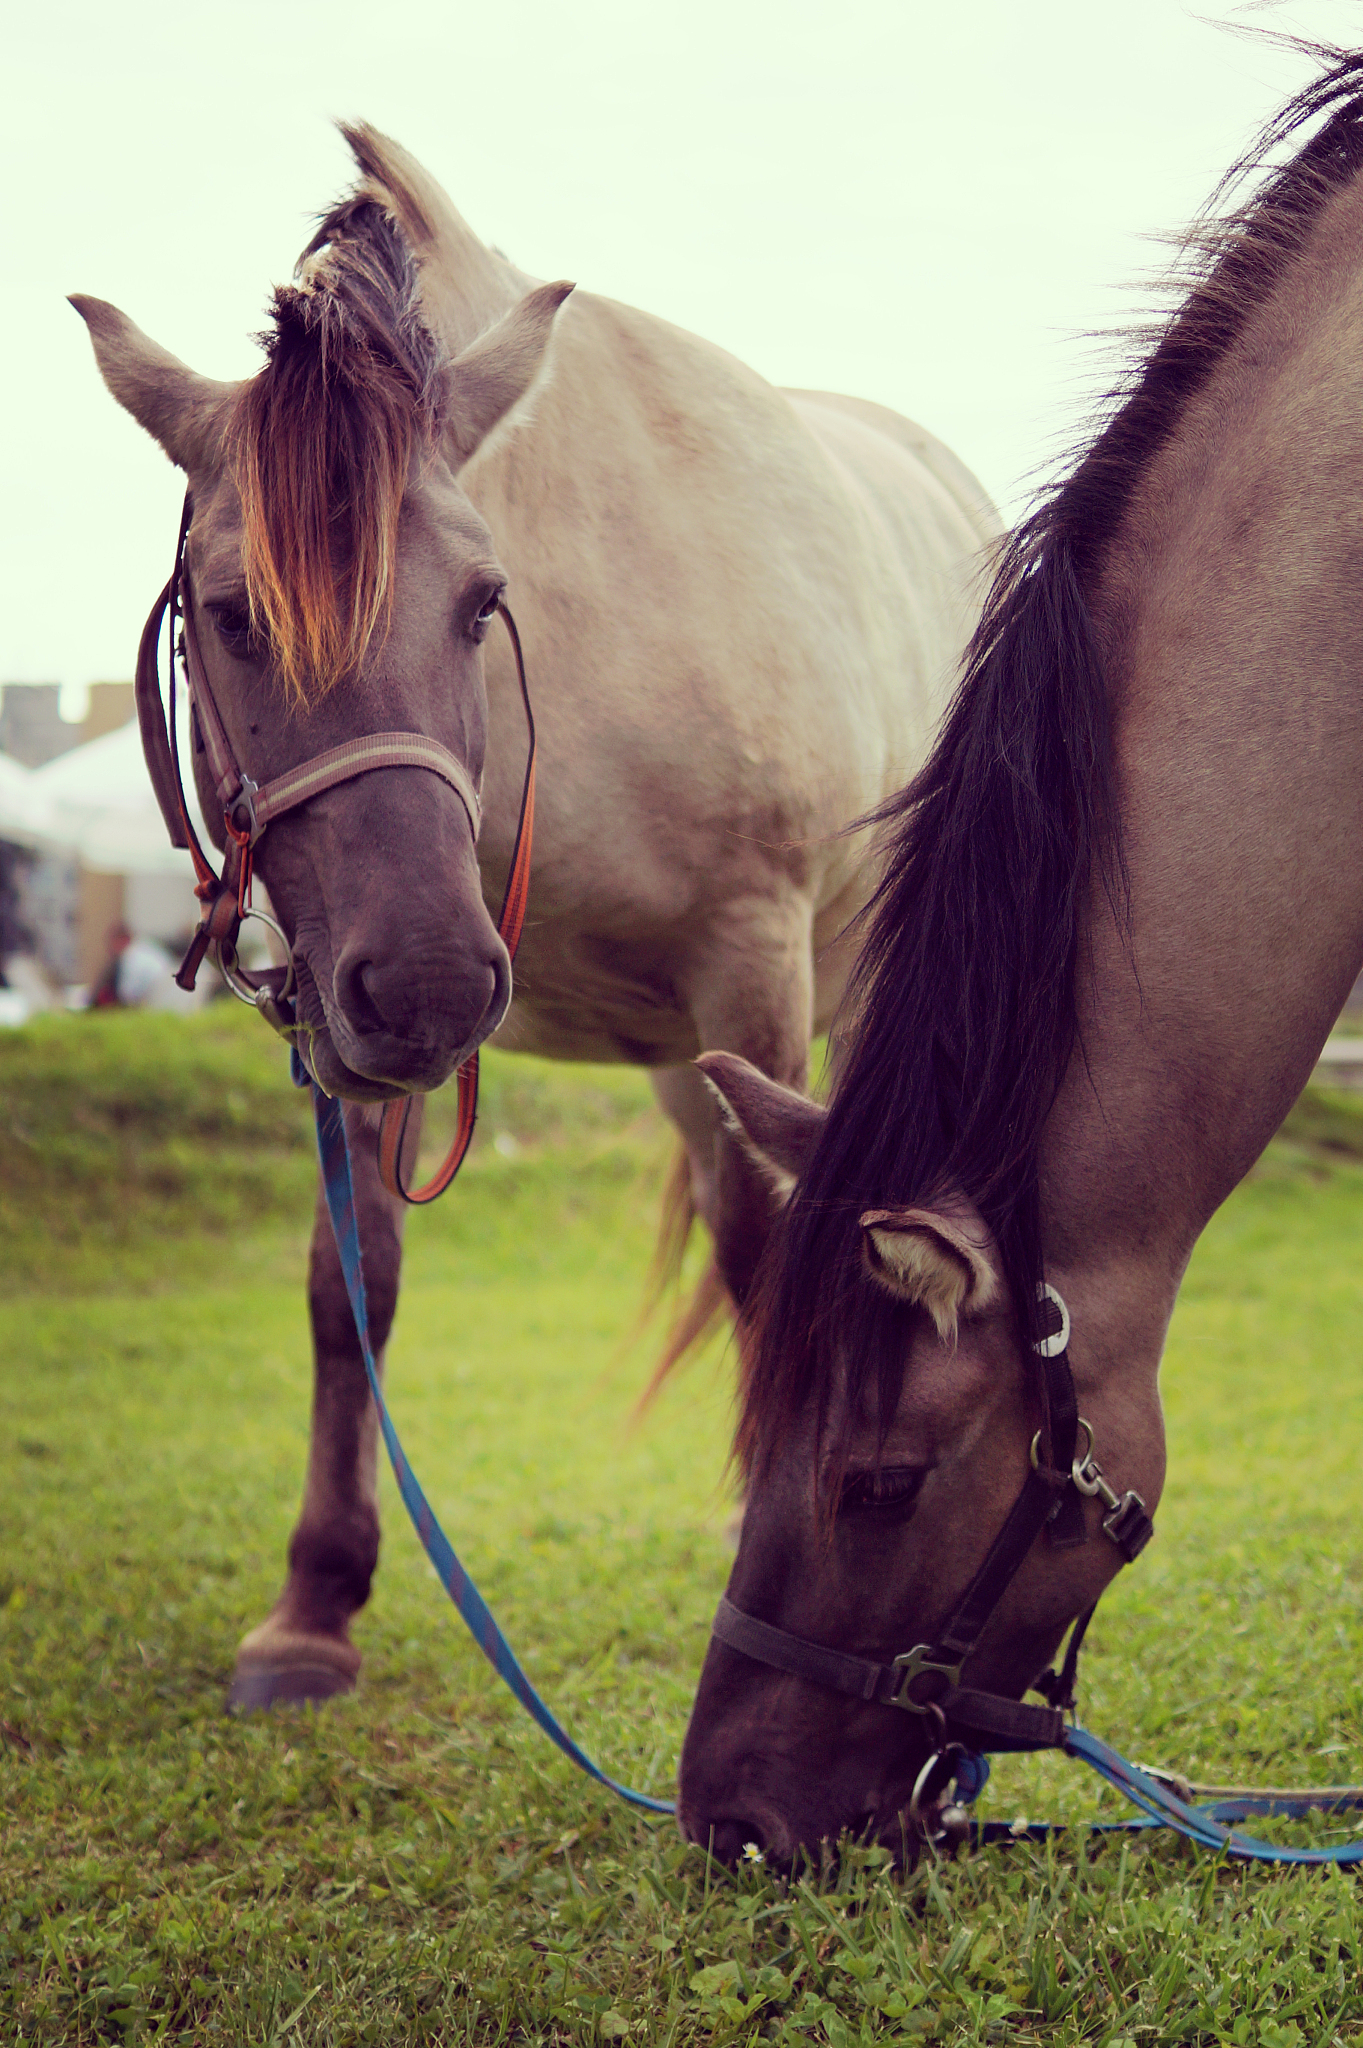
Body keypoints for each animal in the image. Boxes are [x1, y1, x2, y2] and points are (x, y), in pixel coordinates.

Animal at [73, 125, 997, 1710]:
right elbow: (352, 1288)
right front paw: (315, 1600)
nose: (438, 984)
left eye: (478, 598)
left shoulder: (751, 968)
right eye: (232, 611)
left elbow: (783, 1257)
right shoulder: (351, 1005)